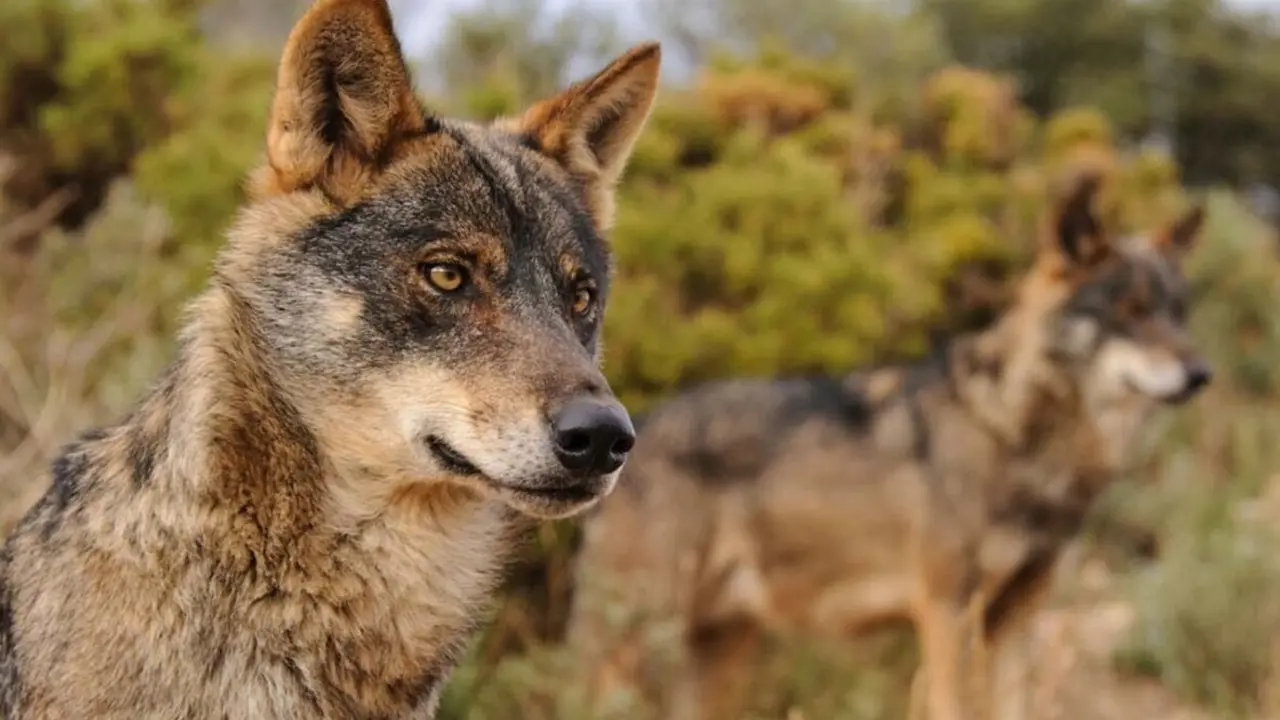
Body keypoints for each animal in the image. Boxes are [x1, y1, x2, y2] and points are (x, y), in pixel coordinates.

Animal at [566, 174, 1211, 720]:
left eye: (1179, 313)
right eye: (1130, 311)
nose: (1201, 374)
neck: (1013, 434)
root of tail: (635, 428)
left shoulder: (1018, 620)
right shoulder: (948, 613)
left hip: (720, 654)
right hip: (635, 643)